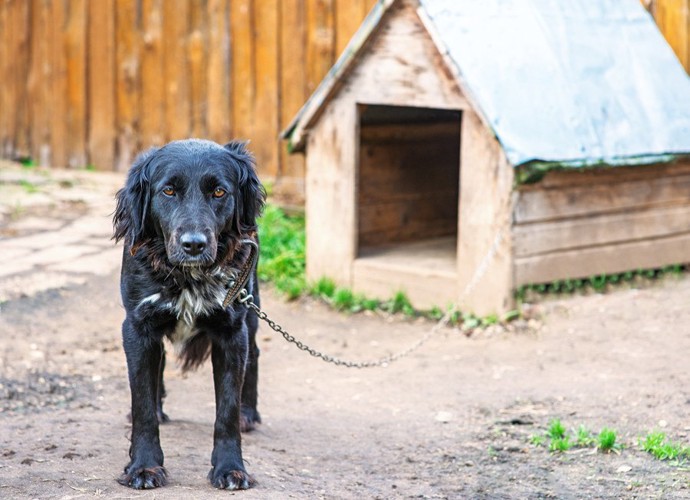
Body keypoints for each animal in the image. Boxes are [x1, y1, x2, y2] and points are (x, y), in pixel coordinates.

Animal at [113, 139, 264, 490]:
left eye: (219, 192)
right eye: (168, 191)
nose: (193, 244)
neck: (187, 277)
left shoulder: (232, 331)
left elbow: (227, 410)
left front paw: (231, 468)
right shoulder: (138, 327)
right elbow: (141, 402)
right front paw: (144, 466)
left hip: (252, 309)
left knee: (255, 355)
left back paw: (249, 413)